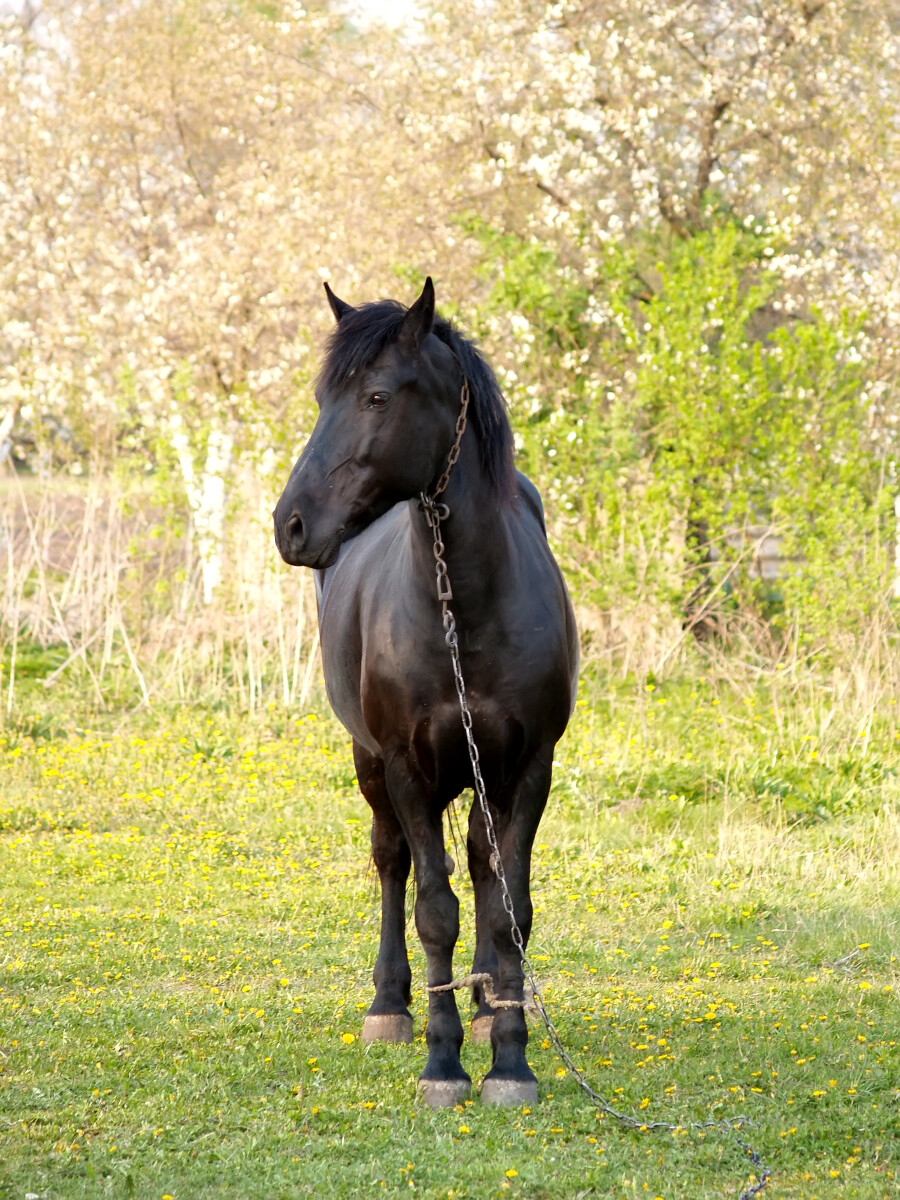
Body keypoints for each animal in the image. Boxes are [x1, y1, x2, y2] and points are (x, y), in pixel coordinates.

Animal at [273, 280, 578, 1104]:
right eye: (321, 396)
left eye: (377, 396)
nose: (290, 525)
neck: (462, 606)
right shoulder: (408, 769)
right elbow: (434, 909)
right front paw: (443, 1064)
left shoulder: (527, 771)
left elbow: (508, 912)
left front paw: (510, 1058)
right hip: (370, 764)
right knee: (391, 863)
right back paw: (393, 1006)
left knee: (482, 868)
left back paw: (486, 999)